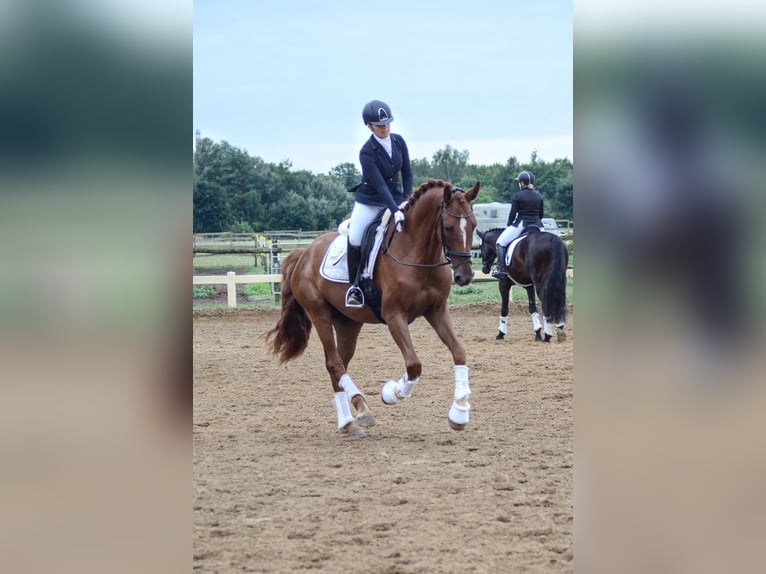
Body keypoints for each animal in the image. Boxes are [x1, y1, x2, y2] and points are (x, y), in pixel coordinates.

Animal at [264, 180, 480, 440]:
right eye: (448, 227)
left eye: (474, 225)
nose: (465, 276)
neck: (417, 254)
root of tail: (304, 253)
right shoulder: (395, 316)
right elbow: (414, 365)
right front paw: (392, 393)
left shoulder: (437, 311)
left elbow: (459, 352)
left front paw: (459, 412)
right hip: (319, 314)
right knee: (334, 364)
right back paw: (355, 414)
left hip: (348, 322)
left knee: (339, 364)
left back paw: (352, 418)